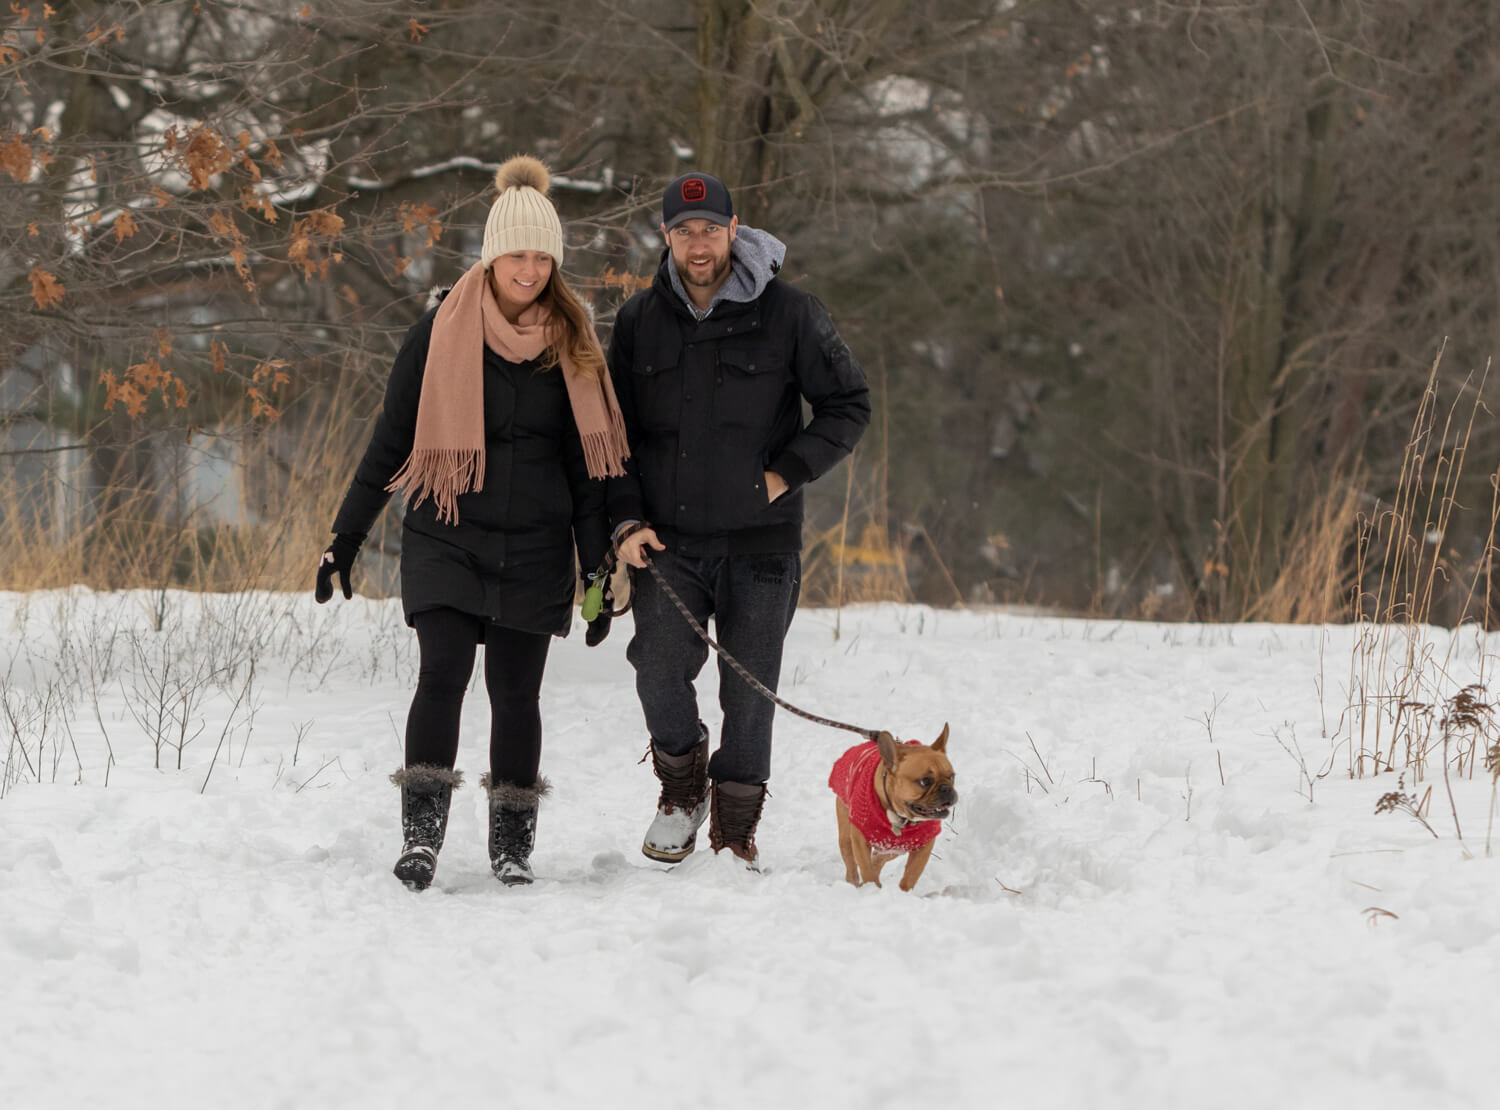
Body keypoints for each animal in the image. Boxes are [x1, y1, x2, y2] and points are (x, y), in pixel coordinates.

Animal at [828, 720, 954, 894]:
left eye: (952, 777)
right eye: (925, 781)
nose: (947, 789)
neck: (900, 817)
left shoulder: (923, 845)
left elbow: (912, 873)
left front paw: (904, 893)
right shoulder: (859, 839)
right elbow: (865, 868)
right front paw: (871, 889)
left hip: (896, 847)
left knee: (878, 858)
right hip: (847, 835)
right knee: (851, 862)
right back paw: (853, 884)